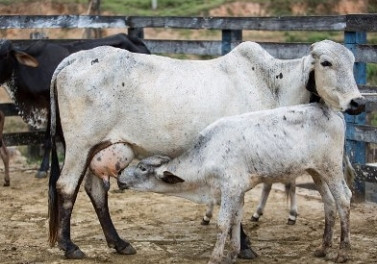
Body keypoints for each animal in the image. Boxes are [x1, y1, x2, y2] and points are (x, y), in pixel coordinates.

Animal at [117, 102, 358, 262]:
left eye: (142, 168)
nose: (119, 176)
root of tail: (333, 111)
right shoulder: (239, 191)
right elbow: (235, 220)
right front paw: (232, 254)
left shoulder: (231, 188)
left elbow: (223, 223)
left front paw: (215, 257)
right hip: (316, 171)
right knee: (329, 203)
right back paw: (323, 248)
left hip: (331, 167)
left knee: (343, 199)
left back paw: (343, 251)